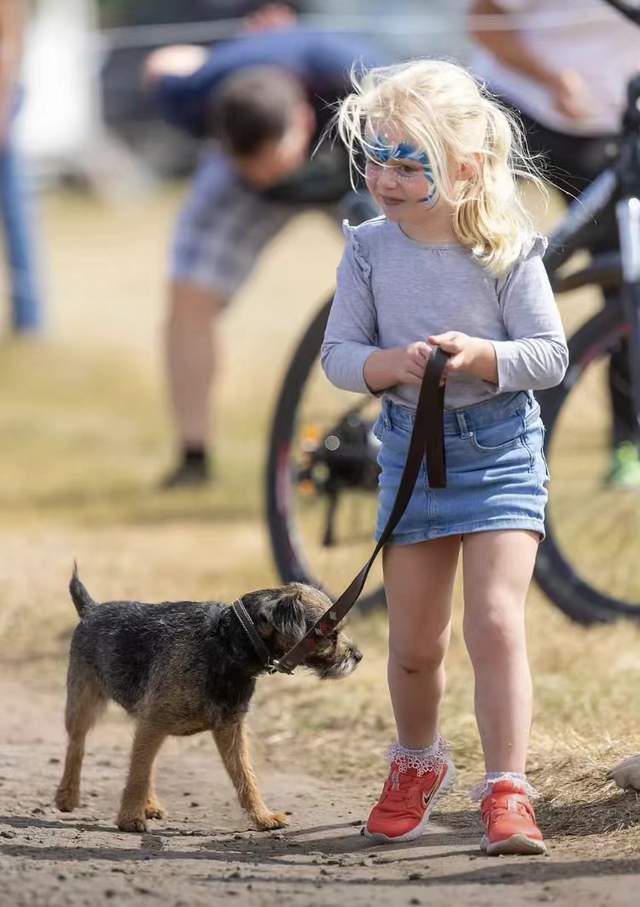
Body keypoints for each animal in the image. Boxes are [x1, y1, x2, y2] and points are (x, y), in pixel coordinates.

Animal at [55, 572, 362, 832]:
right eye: (331, 633)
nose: (358, 656)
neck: (228, 641)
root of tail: (91, 609)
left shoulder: (229, 729)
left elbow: (245, 777)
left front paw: (262, 817)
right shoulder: (154, 723)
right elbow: (137, 776)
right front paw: (130, 818)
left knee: (142, 761)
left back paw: (149, 804)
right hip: (83, 703)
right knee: (77, 747)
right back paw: (68, 795)